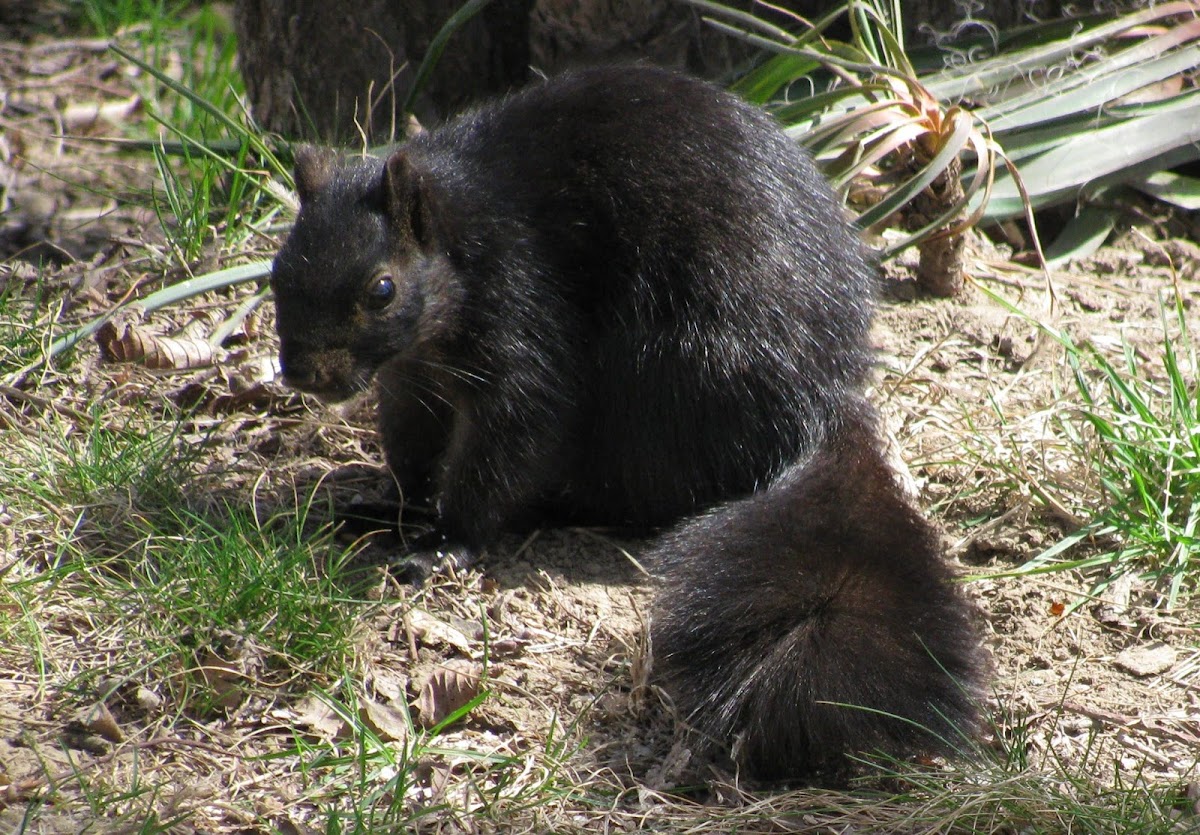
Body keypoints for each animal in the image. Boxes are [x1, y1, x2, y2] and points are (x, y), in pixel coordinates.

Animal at [270, 63, 984, 777]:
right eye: (277, 270)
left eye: (381, 290)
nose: (303, 374)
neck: (463, 241)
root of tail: (815, 401)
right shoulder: (412, 380)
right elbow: (412, 449)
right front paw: (393, 508)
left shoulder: (523, 319)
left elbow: (509, 441)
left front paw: (444, 543)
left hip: (666, 382)